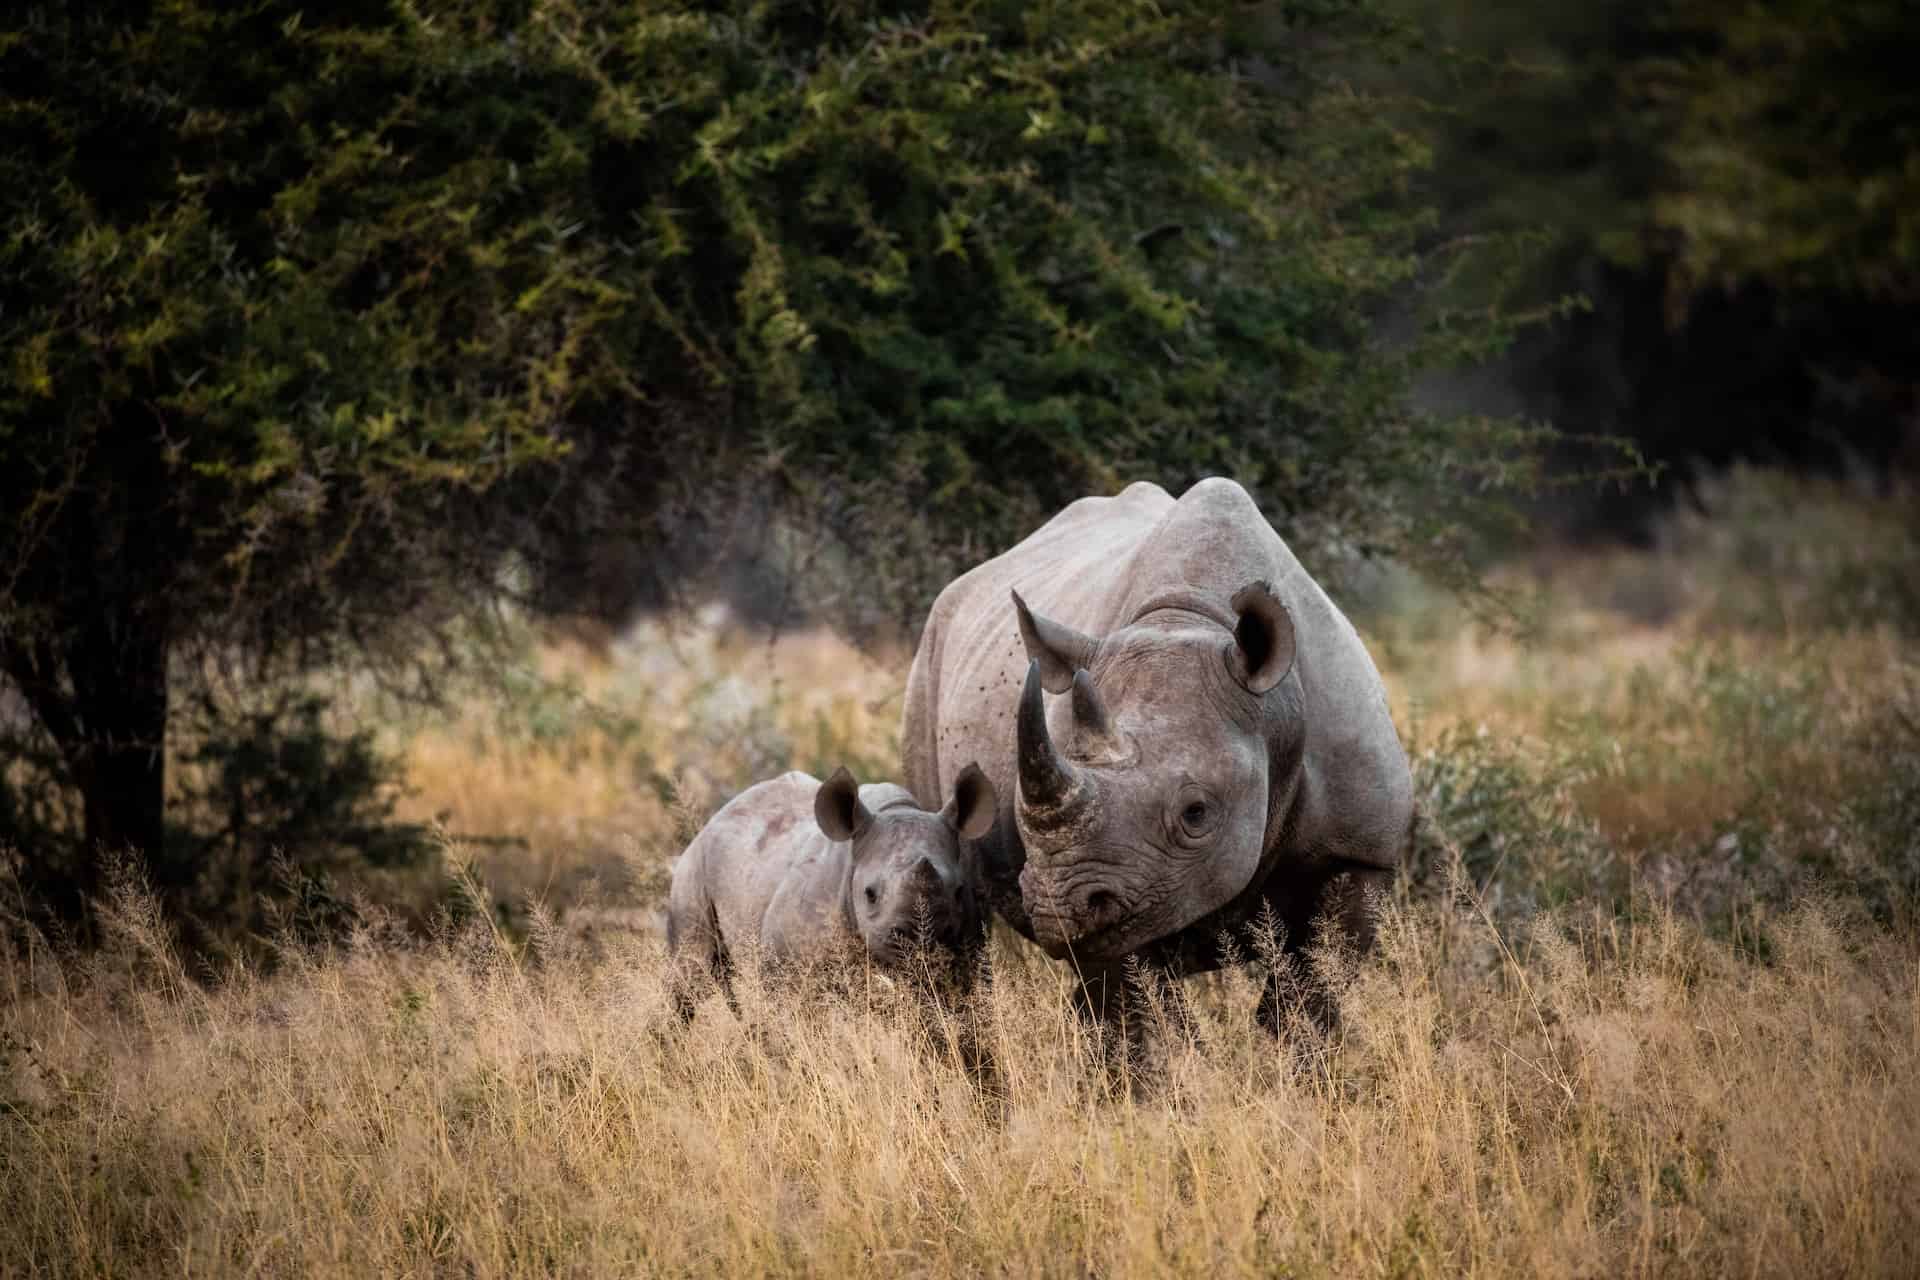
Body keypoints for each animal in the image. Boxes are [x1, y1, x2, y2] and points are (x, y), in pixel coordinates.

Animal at [668, 759, 998, 1020]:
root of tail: (716, 816)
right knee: (690, 978)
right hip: (692, 870)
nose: (919, 943)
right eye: (869, 894)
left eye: (958, 891)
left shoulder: (970, 957)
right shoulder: (784, 968)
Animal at [898, 477, 1413, 1028]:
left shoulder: (1359, 852)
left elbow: (1309, 998)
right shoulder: (1126, 881)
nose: (1060, 908)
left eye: (1196, 812)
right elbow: (1141, 1010)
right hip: (928, 661)